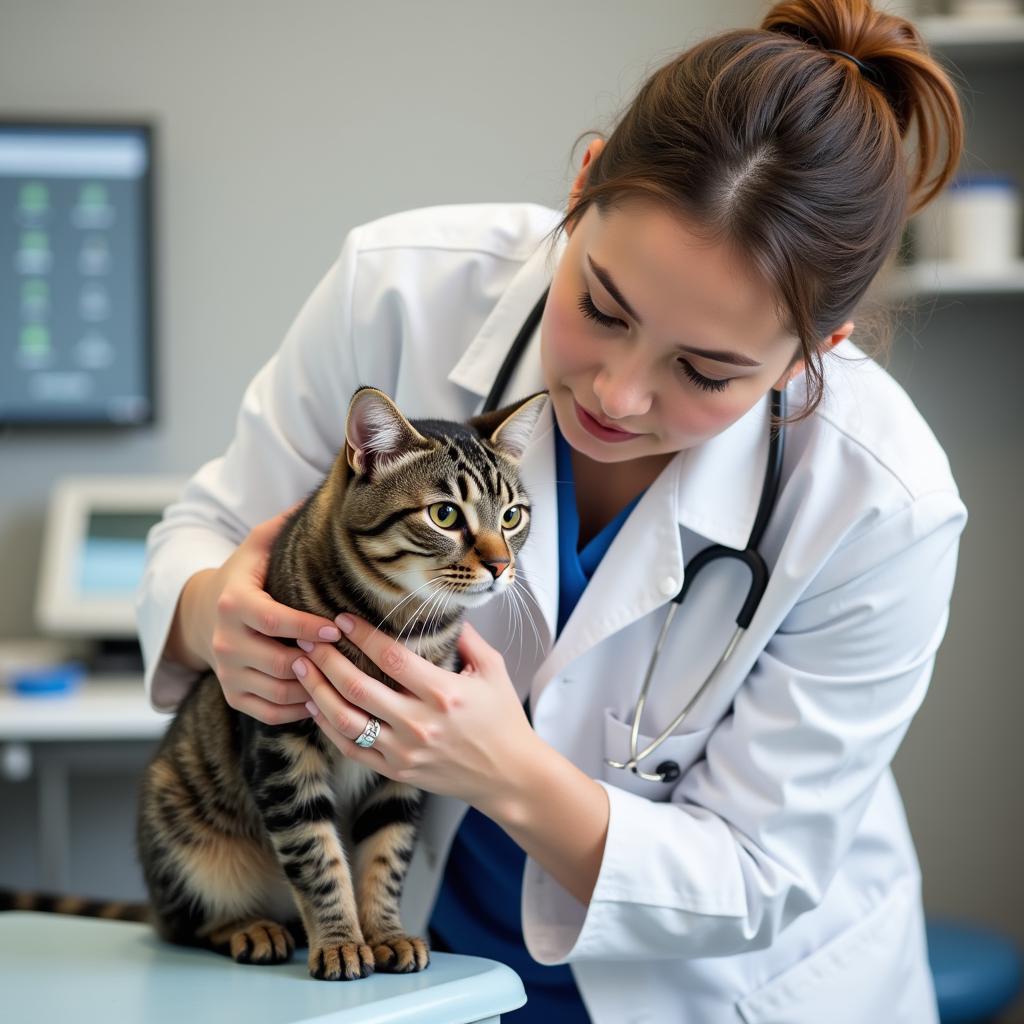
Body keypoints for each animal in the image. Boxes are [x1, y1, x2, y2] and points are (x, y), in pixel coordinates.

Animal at [0, 387, 548, 978]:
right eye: (444, 514)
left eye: (512, 516)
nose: (500, 565)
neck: (400, 622)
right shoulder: (283, 746)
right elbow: (317, 855)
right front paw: (340, 941)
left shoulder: (405, 767)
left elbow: (386, 855)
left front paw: (385, 932)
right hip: (180, 827)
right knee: (189, 924)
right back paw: (251, 928)